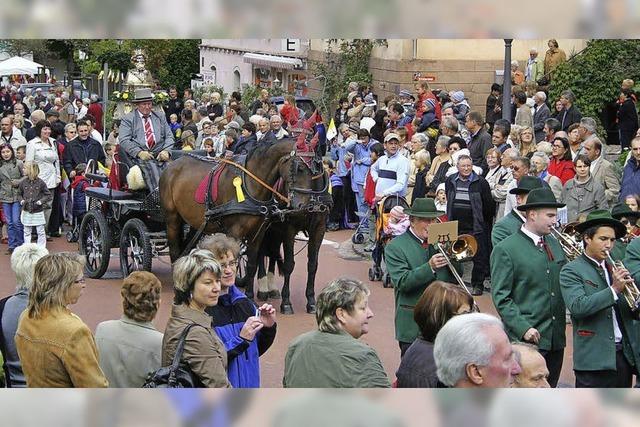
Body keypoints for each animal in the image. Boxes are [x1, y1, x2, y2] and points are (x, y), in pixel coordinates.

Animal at [159, 139, 318, 300]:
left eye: (315, 170)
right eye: (299, 168)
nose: (304, 206)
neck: (249, 184)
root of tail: (172, 164)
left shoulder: (258, 233)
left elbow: (252, 264)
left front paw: (249, 295)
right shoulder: (234, 233)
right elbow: (231, 263)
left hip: (196, 222)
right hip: (172, 219)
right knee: (174, 251)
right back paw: (178, 289)